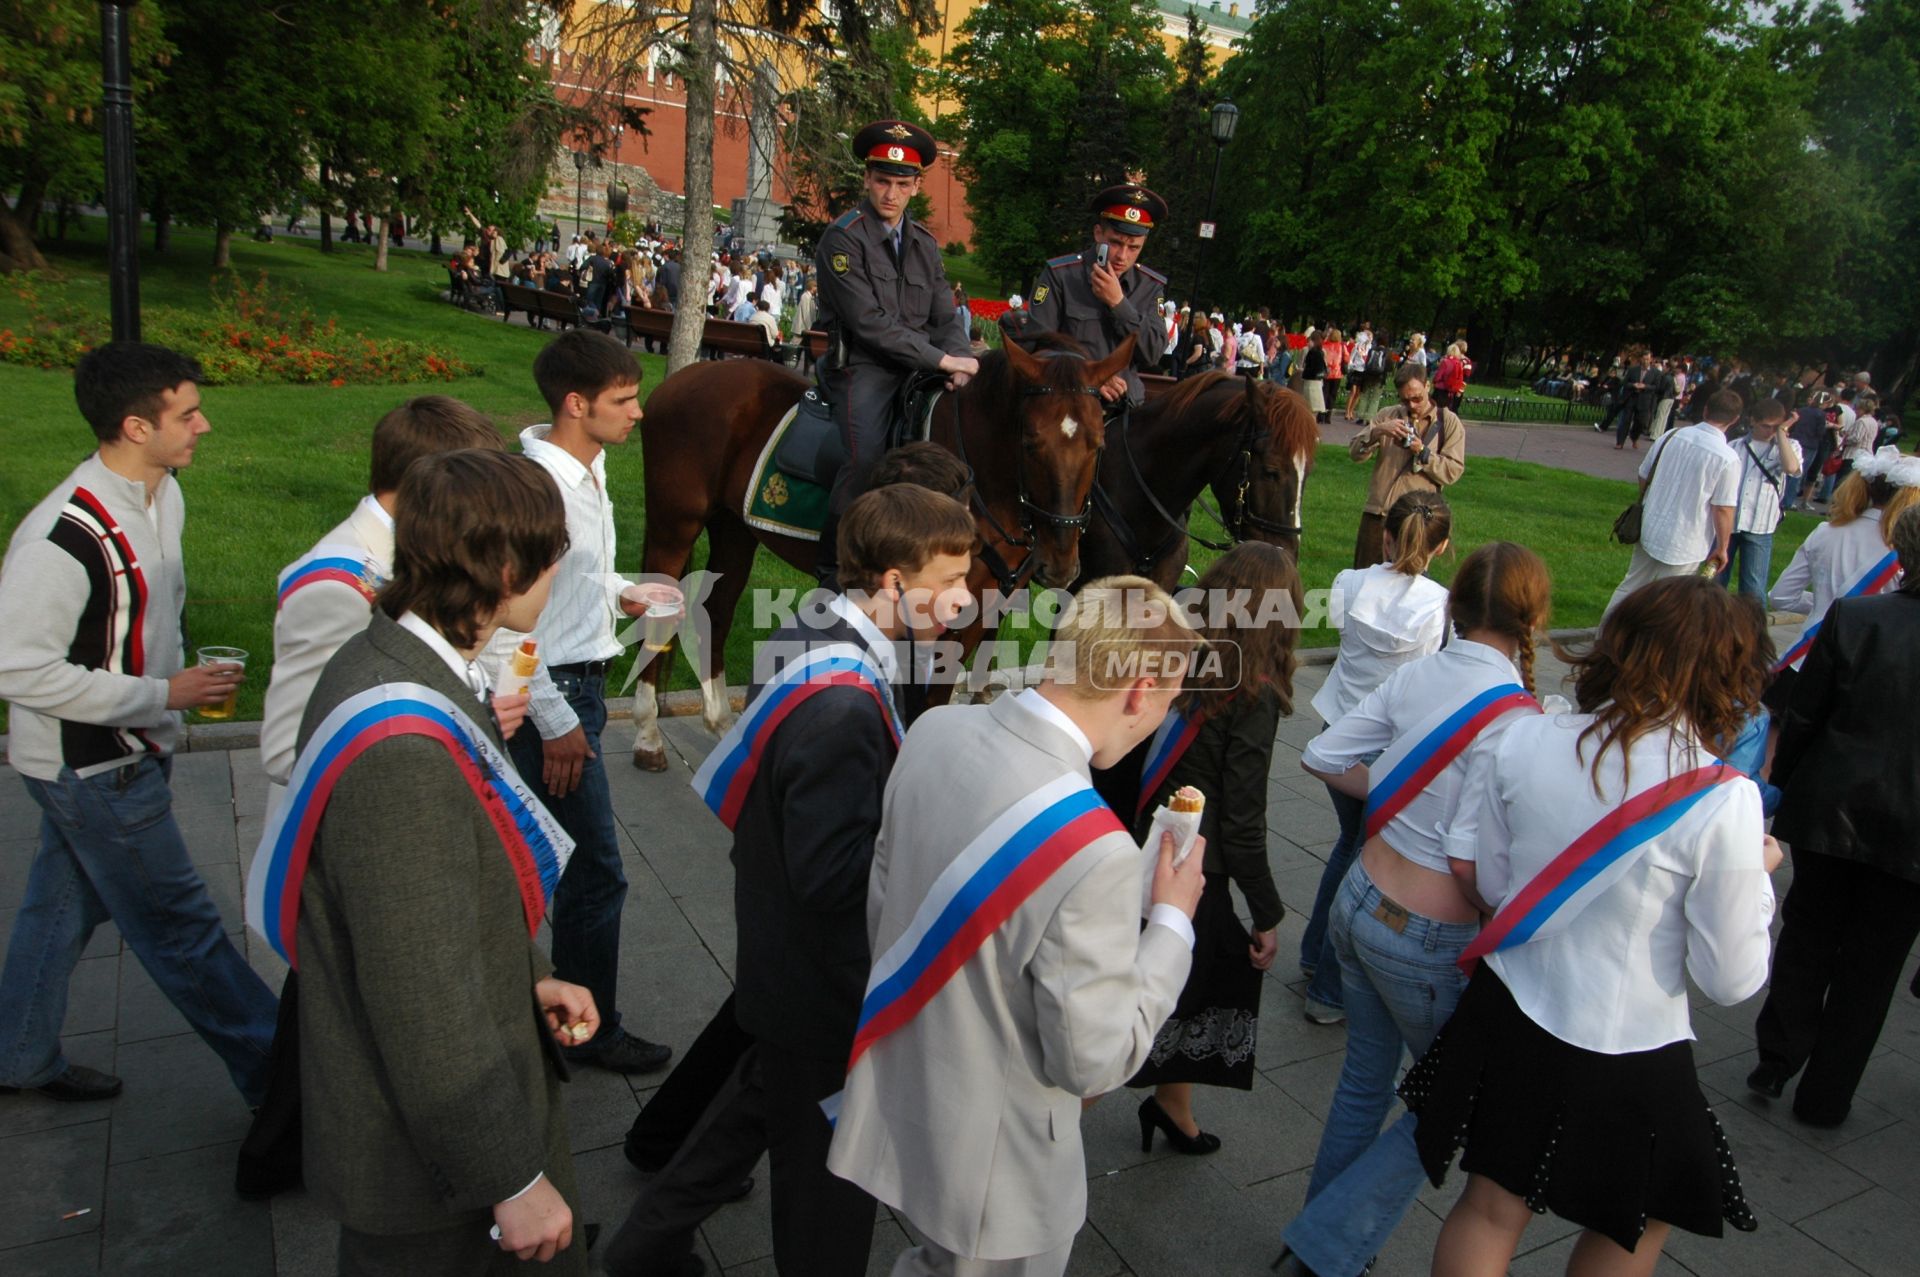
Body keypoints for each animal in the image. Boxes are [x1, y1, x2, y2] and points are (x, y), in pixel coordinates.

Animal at [629, 334, 1136, 768]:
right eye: (1031, 441)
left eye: (1099, 443)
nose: (1060, 562)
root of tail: (683, 378)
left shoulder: (977, 612)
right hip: (676, 524)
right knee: (660, 609)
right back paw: (648, 735)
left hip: (734, 528)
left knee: (717, 609)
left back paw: (722, 726)